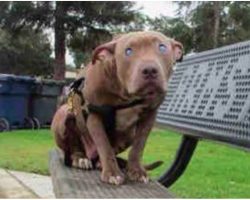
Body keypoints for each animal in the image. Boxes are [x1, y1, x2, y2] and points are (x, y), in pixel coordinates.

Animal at [51, 30, 184, 185]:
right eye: (128, 51)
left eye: (162, 47)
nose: (150, 70)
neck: (125, 94)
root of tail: (90, 155)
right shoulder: (94, 115)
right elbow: (104, 145)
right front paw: (112, 173)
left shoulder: (149, 116)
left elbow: (138, 147)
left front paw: (136, 171)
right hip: (64, 114)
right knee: (74, 148)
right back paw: (80, 158)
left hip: (129, 133)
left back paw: (100, 163)